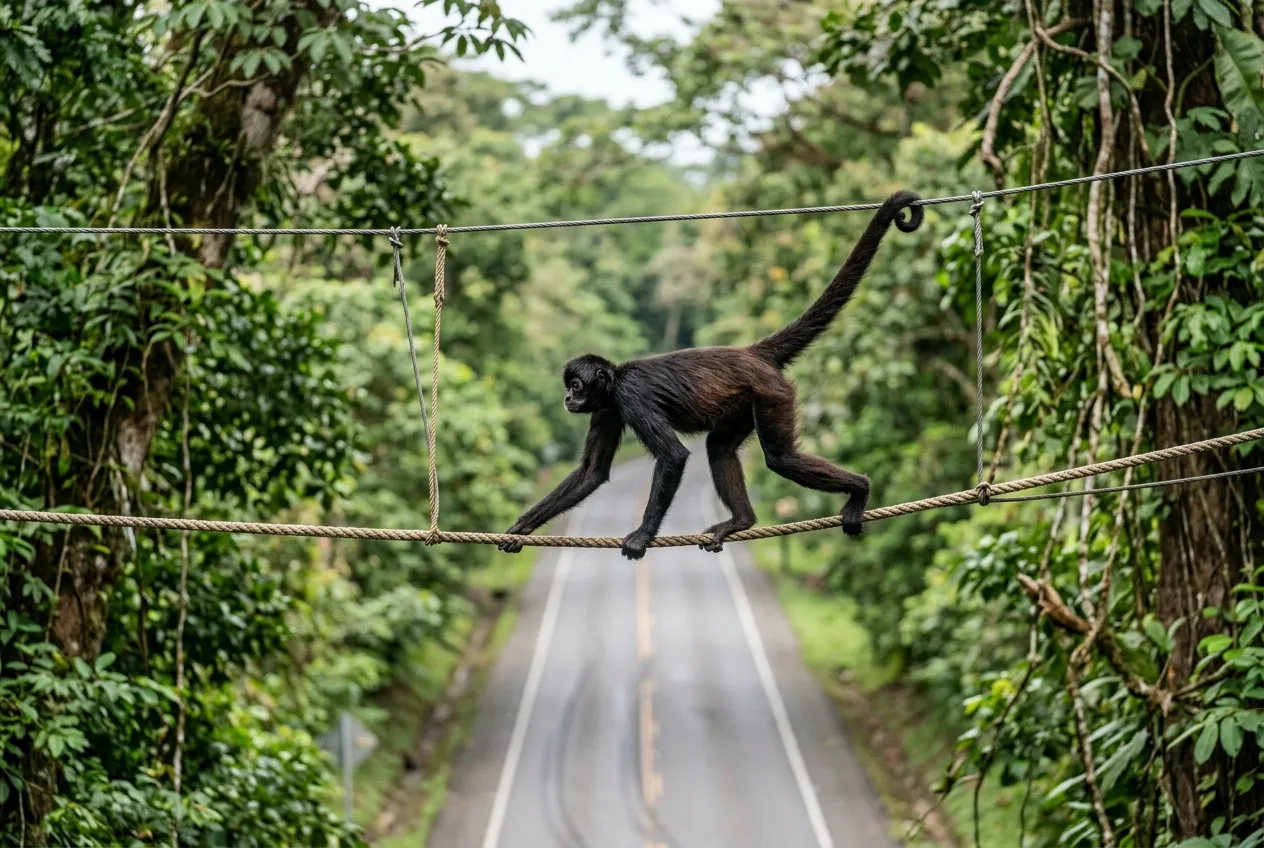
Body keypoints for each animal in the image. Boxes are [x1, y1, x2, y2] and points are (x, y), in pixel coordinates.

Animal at [497, 190, 924, 560]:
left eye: (575, 385)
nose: (568, 399)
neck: (615, 381)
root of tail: (751, 352)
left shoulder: (630, 397)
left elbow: (673, 456)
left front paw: (642, 536)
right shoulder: (607, 407)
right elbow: (592, 473)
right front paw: (520, 529)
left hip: (771, 393)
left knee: (781, 458)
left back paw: (861, 489)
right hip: (746, 402)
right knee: (719, 447)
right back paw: (741, 521)